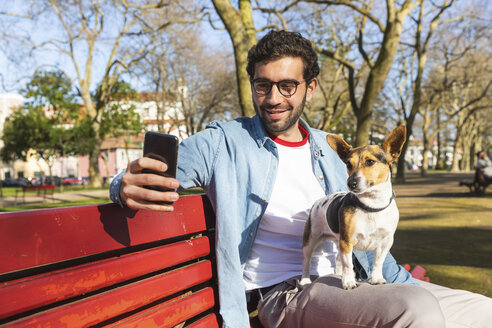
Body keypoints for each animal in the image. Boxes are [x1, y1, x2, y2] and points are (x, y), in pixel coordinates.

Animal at [300, 125, 408, 290]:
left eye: (370, 162)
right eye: (348, 164)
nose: (351, 183)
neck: (371, 206)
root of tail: (318, 202)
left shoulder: (385, 242)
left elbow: (378, 263)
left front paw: (376, 278)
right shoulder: (347, 242)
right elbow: (348, 265)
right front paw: (349, 281)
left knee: (338, 261)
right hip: (310, 241)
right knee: (306, 261)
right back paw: (305, 280)